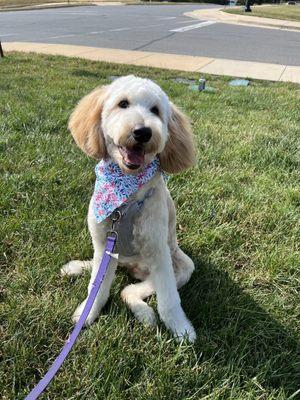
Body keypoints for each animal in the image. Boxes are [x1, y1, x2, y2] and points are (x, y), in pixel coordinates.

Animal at [61, 76, 197, 344]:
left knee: (128, 290)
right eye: (123, 104)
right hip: (110, 256)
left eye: (155, 110)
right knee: (102, 272)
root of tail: (130, 266)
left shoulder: (159, 253)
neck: (126, 200)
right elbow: (96, 288)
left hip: (181, 266)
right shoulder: (103, 245)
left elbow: (169, 301)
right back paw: (76, 267)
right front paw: (87, 313)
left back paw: (144, 313)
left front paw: (181, 329)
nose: (143, 132)